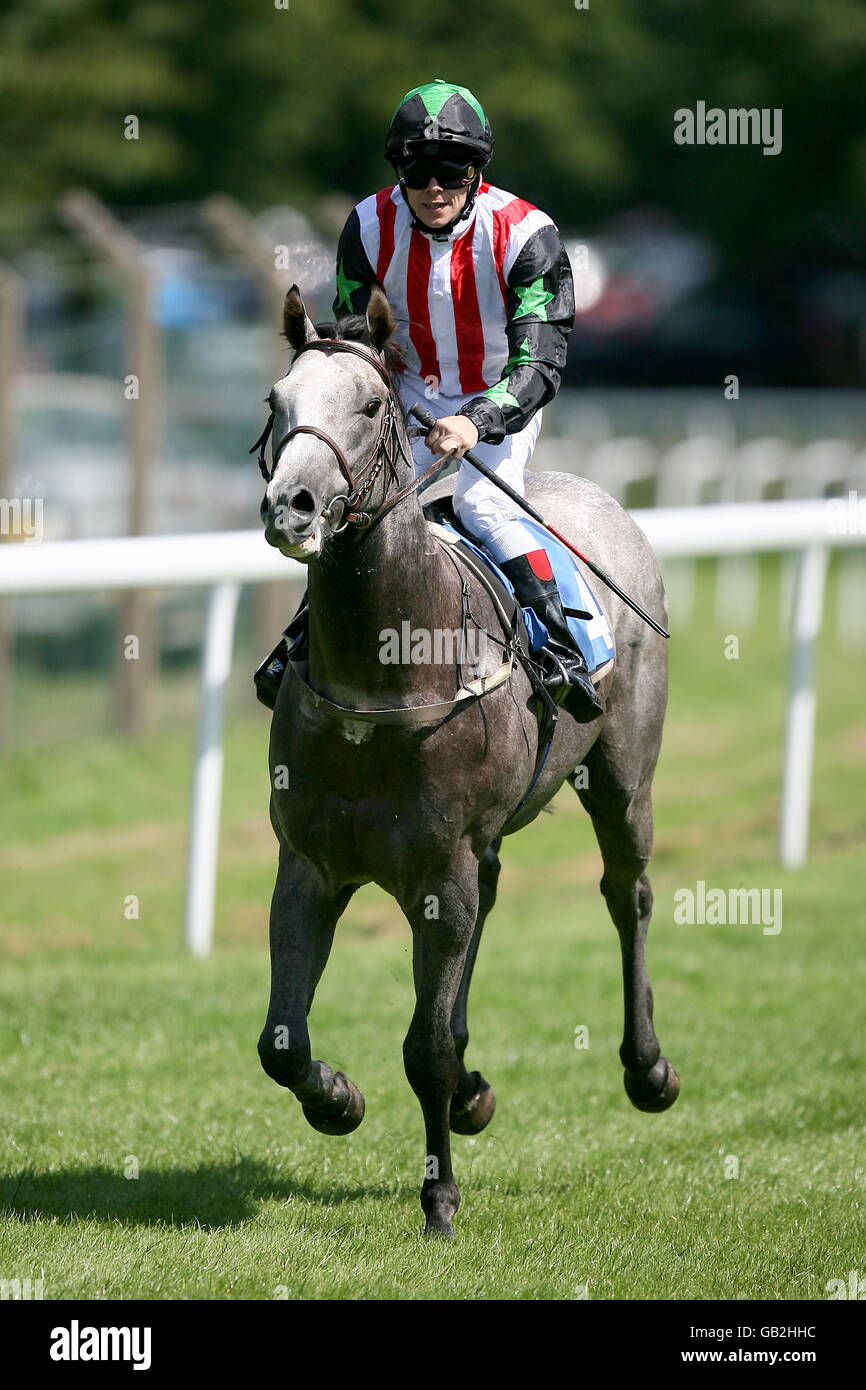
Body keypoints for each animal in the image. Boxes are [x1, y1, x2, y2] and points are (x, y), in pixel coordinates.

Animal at [254, 284, 681, 1239]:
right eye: (276, 401)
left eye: (369, 406)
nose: (290, 505)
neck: (382, 676)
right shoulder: (309, 864)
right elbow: (281, 1043)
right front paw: (338, 1098)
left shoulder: (436, 871)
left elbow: (425, 1050)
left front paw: (439, 1197)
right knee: (491, 900)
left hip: (624, 777)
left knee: (626, 893)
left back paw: (647, 1067)